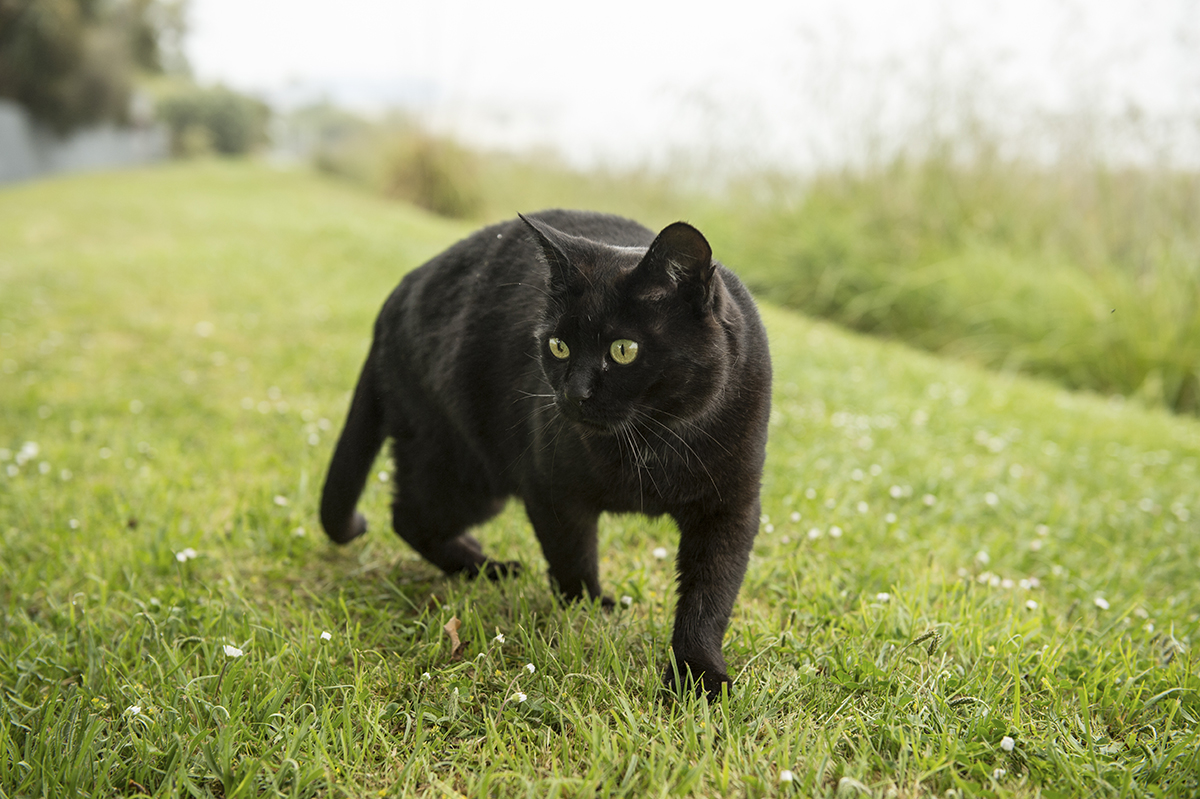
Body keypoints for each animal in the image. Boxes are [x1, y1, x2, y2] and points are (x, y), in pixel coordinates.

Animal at [319, 208, 768, 695]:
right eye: (558, 346)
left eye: (624, 350)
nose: (574, 393)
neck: (653, 445)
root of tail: (398, 292)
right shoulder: (550, 488)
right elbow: (573, 559)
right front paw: (592, 611)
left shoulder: (730, 507)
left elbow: (710, 596)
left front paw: (699, 677)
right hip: (464, 471)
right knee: (409, 517)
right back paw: (489, 568)